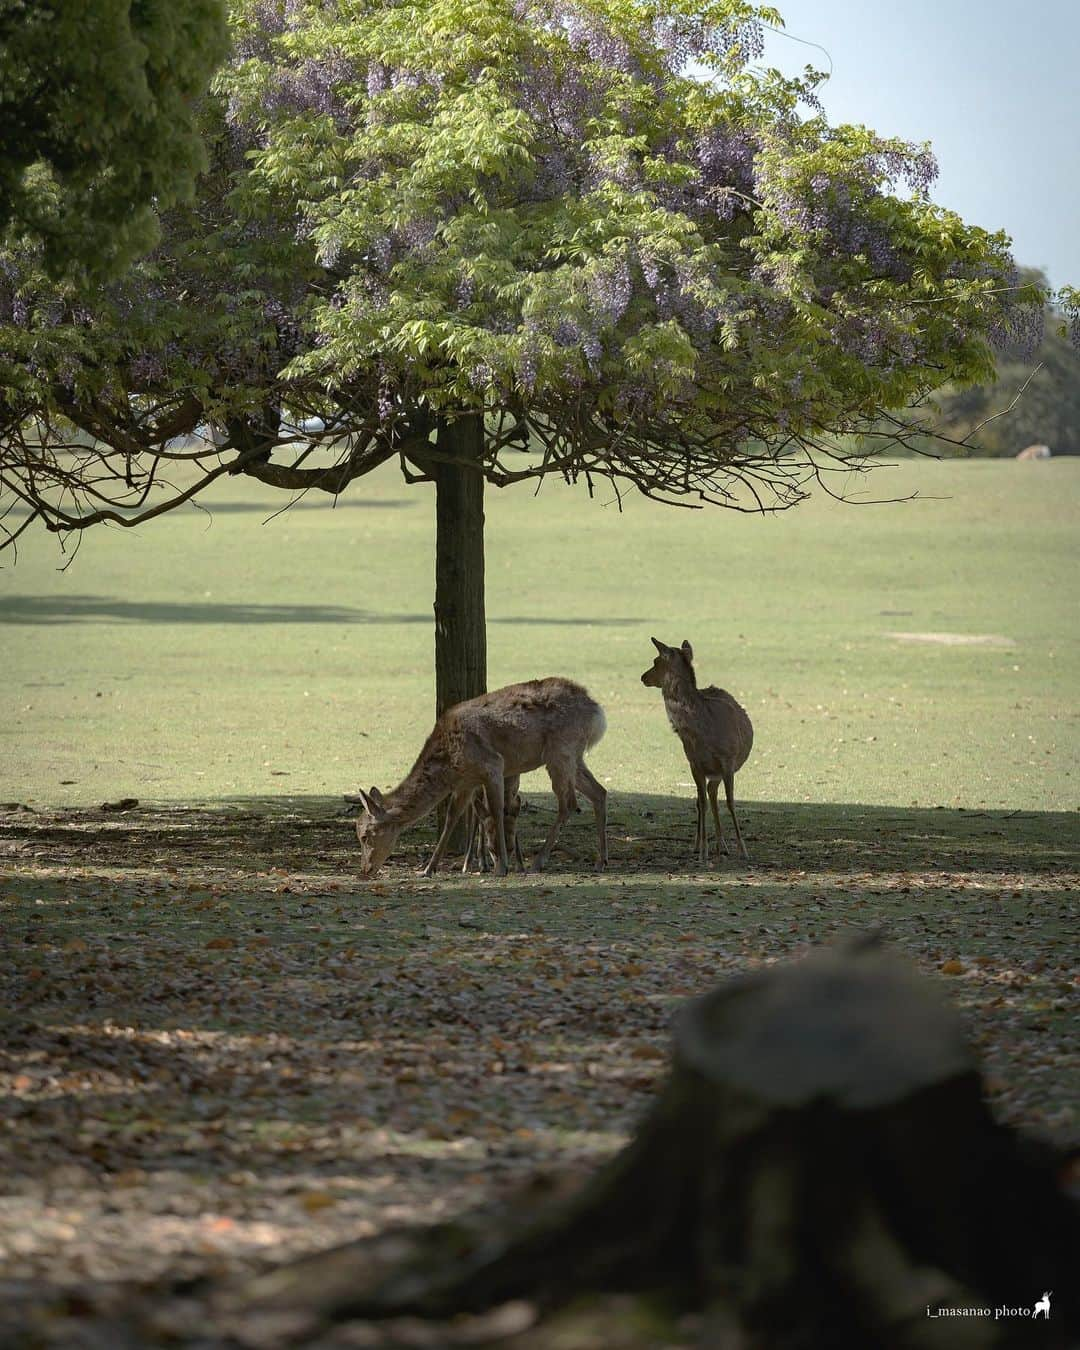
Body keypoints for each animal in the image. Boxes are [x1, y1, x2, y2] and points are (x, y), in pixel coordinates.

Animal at [353, 675, 607, 874]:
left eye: (365, 835)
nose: (366, 870)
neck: (450, 766)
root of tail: (598, 713)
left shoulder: (493, 765)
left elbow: (496, 810)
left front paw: (502, 867)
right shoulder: (466, 782)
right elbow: (452, 818)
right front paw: (428, 869)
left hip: (561, 751)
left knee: (569, 802)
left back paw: (538, 862)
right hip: (573, 756)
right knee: (599, 792)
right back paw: (600, 862)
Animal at [642, 634, 750, 864]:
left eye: (656, 660)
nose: (643, 677)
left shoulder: (728, 760)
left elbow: (731, 802)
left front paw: (743, 850)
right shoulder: (694, 763)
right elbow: (702, 803)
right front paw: (702, 851)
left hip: (718, 771)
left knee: (713, 794)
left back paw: (723, 846)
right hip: (708, 772)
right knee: (706, 797)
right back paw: (707, 845)